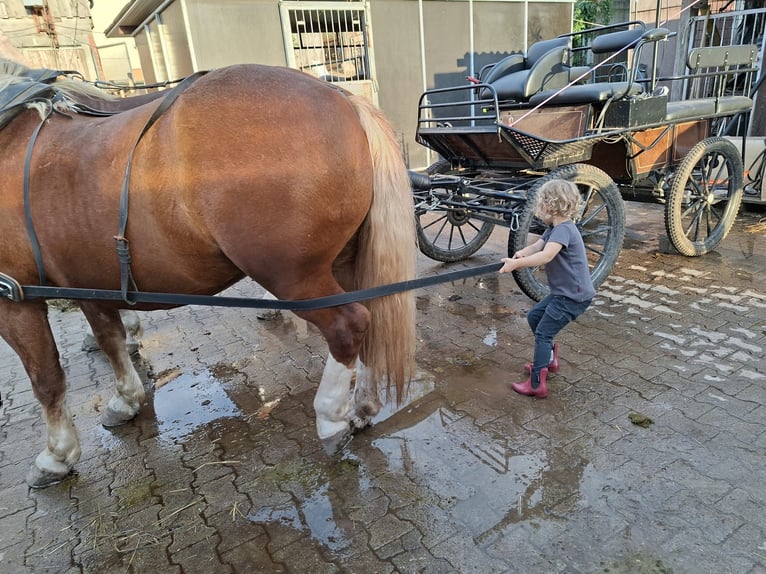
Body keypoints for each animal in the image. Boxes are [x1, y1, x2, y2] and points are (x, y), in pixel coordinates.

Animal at [0, 60, 417, 488]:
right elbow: (109, 339)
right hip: (342, 264)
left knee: (349, 325)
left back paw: (331, 419)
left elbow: (46, 377)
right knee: (373, 318)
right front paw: (126, 399)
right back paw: (363, 405)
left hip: (297, 278)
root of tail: (341, 96)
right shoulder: (85, 279)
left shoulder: (16, 299)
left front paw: (56, 454)